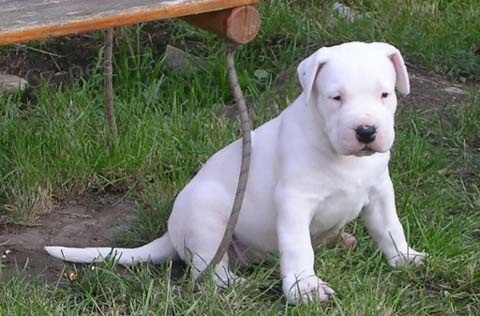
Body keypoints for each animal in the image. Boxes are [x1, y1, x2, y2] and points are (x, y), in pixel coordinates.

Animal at [46, 41, 428, 304]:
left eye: (385, 94)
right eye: (336, 98)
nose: (366, 131)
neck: (341, 154)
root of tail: (171, 232)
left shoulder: (380, 192)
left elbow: (390, 228)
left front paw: (404, 258)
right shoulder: (294, 202)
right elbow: (299, 247)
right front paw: (304, 288)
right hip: (210, 221)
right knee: (209, 271)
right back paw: (234, 285)